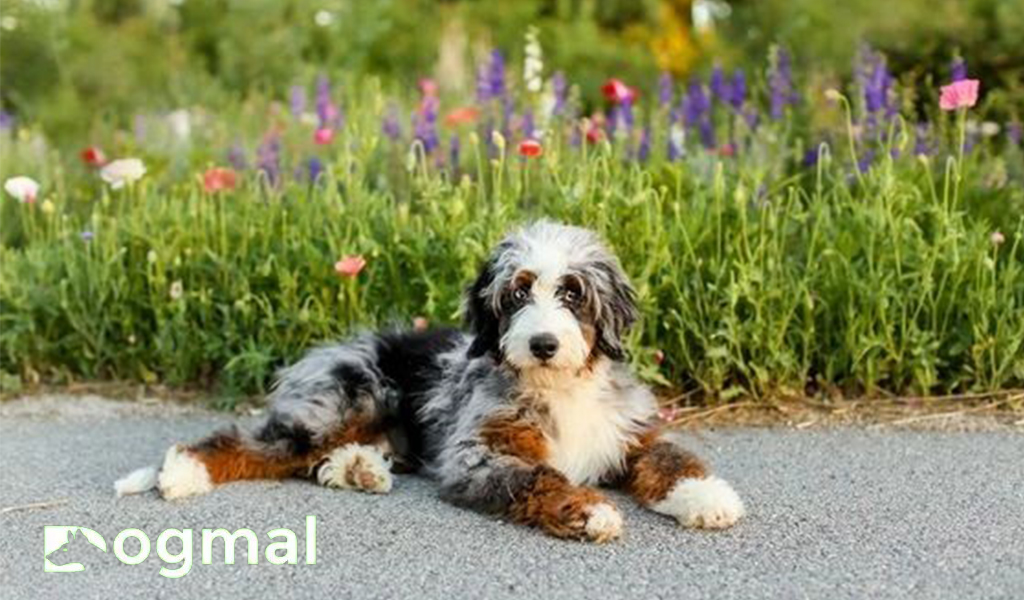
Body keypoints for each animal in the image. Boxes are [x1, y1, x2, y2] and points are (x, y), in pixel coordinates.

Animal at [117, 221, 745, 540]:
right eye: (518, 292)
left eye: (572, 292)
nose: (543, 344)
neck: (558, 386)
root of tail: (326, 350)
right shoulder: (477, 454)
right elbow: (536, 477)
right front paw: (587, 510)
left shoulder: (630, 431)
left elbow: (669, 458)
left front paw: (708, 496)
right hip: (347, 398)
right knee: (252, 443)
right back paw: (185, 470)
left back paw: (360, 469)